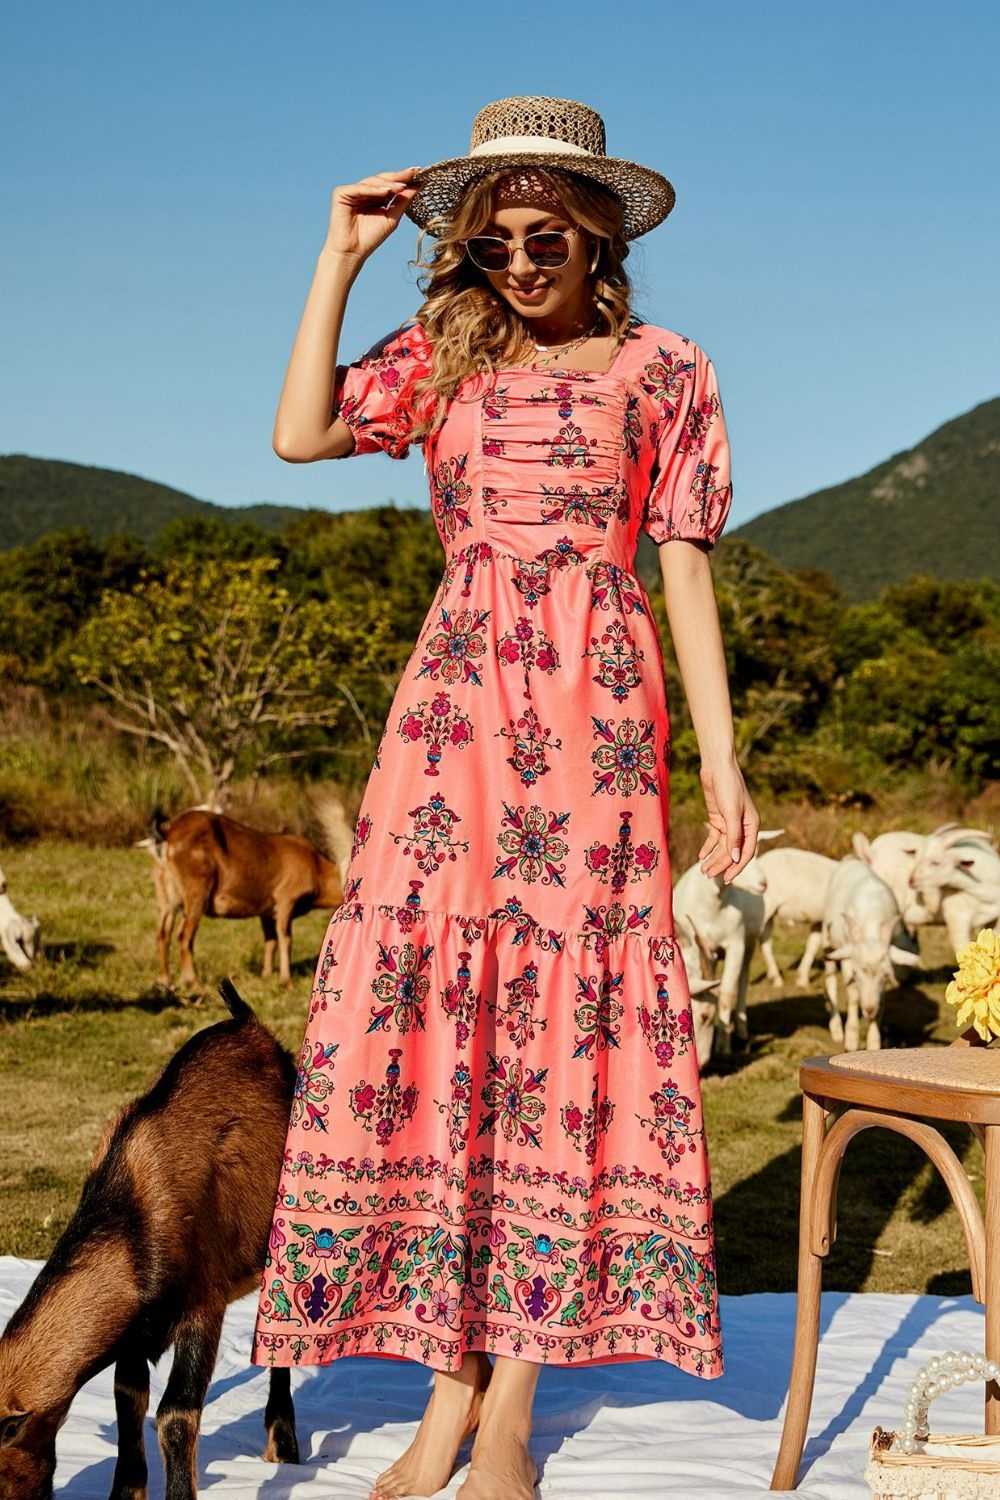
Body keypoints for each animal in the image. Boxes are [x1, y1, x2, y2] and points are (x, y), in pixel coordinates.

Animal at [0, 984, 301, 1500]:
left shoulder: (203, 1305)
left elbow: (175, 1414)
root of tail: (250, 1026)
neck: (131, 1218)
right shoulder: (132, 1329)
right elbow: (128, 1399)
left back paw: (283, 1442)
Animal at [146, 810, 346, 996]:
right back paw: (194, 983)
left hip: (166, 895)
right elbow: (285, 939)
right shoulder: (285, 899)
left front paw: (266, 975)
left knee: (162, 932)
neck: (318, 868)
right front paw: (286, 981)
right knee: (184, 935)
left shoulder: (267, 911)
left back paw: (165, 981)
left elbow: (271, 940)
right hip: (196, 890)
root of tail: (168, 834)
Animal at [821, 852, 923, 1050]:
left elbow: (881, 1000)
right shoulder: (848, 956)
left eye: (886, 975)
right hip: (828, 940)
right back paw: (836, 1028)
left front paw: (874, 1043)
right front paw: (851, 1039)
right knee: (830, 979)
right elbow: (853, 995)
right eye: (857, 973)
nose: (868, 1009)